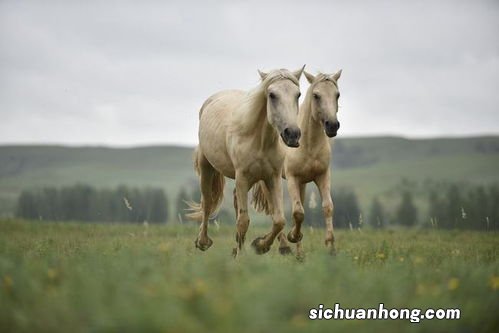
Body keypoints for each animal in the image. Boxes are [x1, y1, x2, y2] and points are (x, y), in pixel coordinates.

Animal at [187, 67, 304, 254]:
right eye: (272, 95)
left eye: (298, 95)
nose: (292, 134)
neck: (259, 141)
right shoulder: (242, 177)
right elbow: (243, 221)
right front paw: (243, 256)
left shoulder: (273, 177)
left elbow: (278, 219)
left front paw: (261, 245)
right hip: (207, 168)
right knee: (207, 202)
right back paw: (203, 242)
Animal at [254, 68, 344, 254]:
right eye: (316, 95)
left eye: (337, 95)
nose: (332, 125)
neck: (309, 146)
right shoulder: (292, 178)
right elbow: (298, 212)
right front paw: (292, 236)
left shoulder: (322, 176)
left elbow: (327, 207)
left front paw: (330, 247)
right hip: (269, 181)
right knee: (274, 210)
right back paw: (283, 246)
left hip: (301, 183)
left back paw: (299, 253)